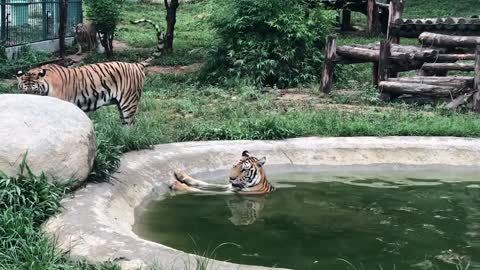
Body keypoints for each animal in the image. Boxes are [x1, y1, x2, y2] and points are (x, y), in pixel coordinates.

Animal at [16, 61, 148, 125]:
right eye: (24, 92)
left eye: (35, 91)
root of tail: (136, 64)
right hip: (120, 105)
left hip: (128, 103)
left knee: (131, 125)